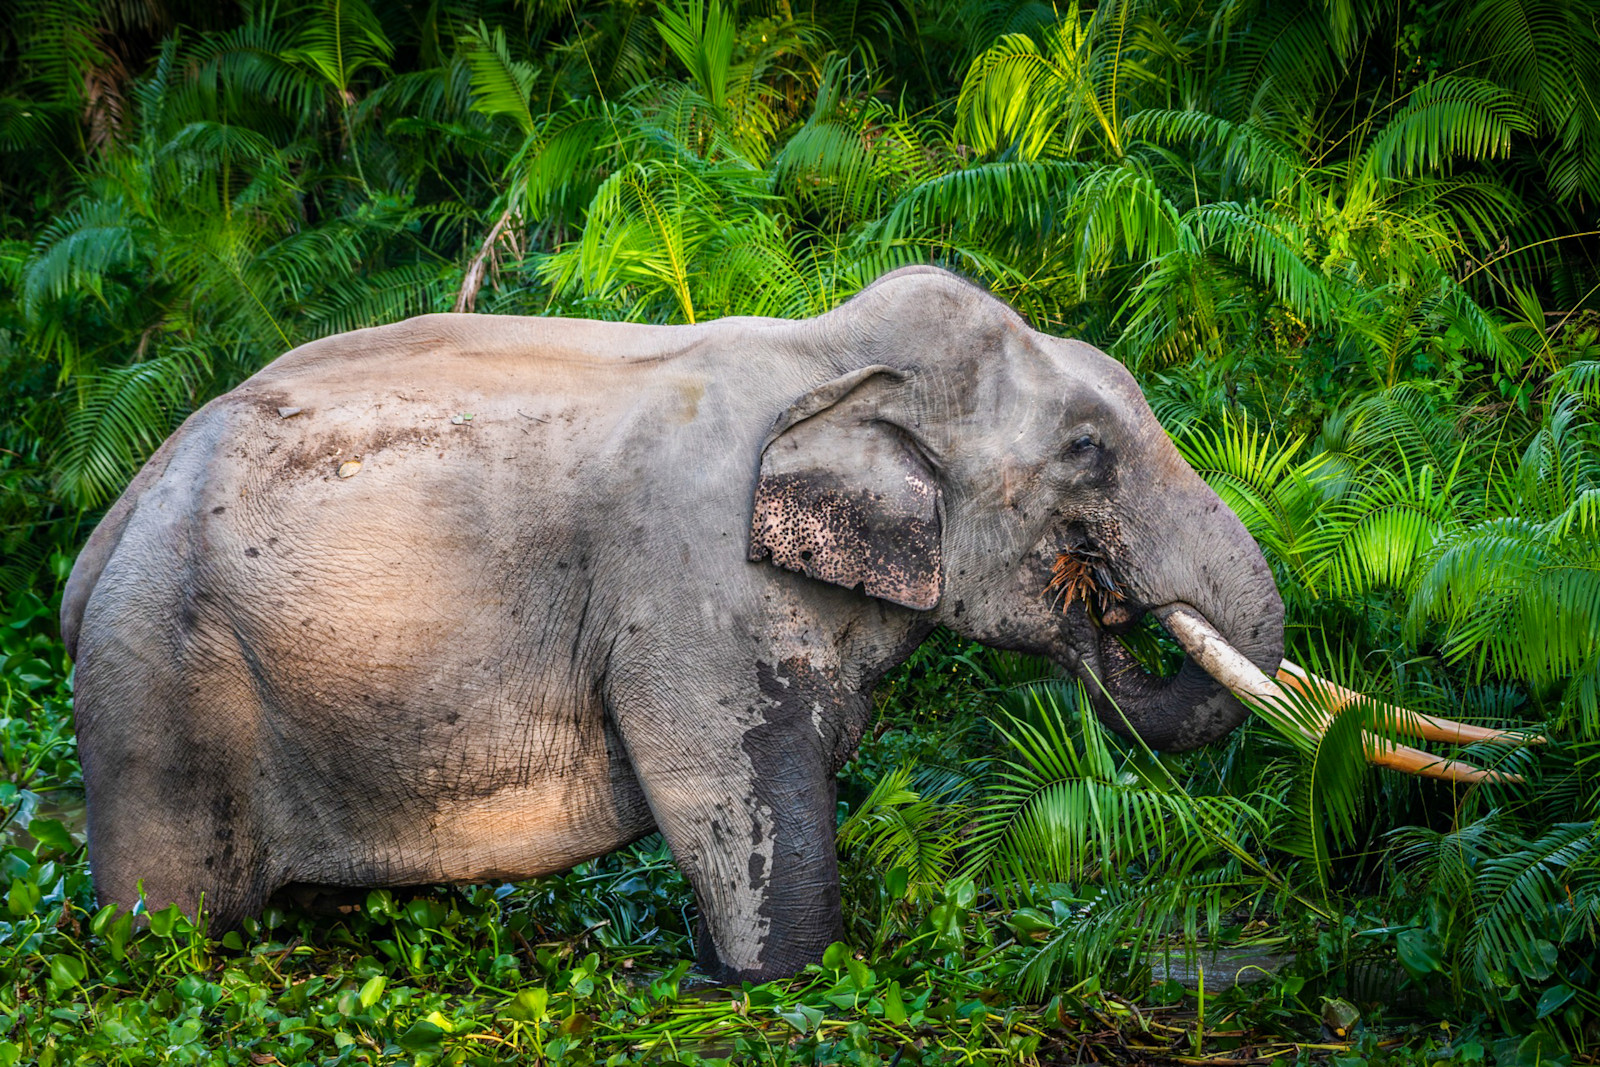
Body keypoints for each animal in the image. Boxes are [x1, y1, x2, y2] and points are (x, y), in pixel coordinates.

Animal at [66, 264, 1454, 982]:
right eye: (1085, 451)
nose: (1113, 603)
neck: (827, 354)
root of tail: (106, 523)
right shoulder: (683, 589)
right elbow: (725, 785)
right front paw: (766, 986)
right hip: (162, 681)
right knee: (170, 919)